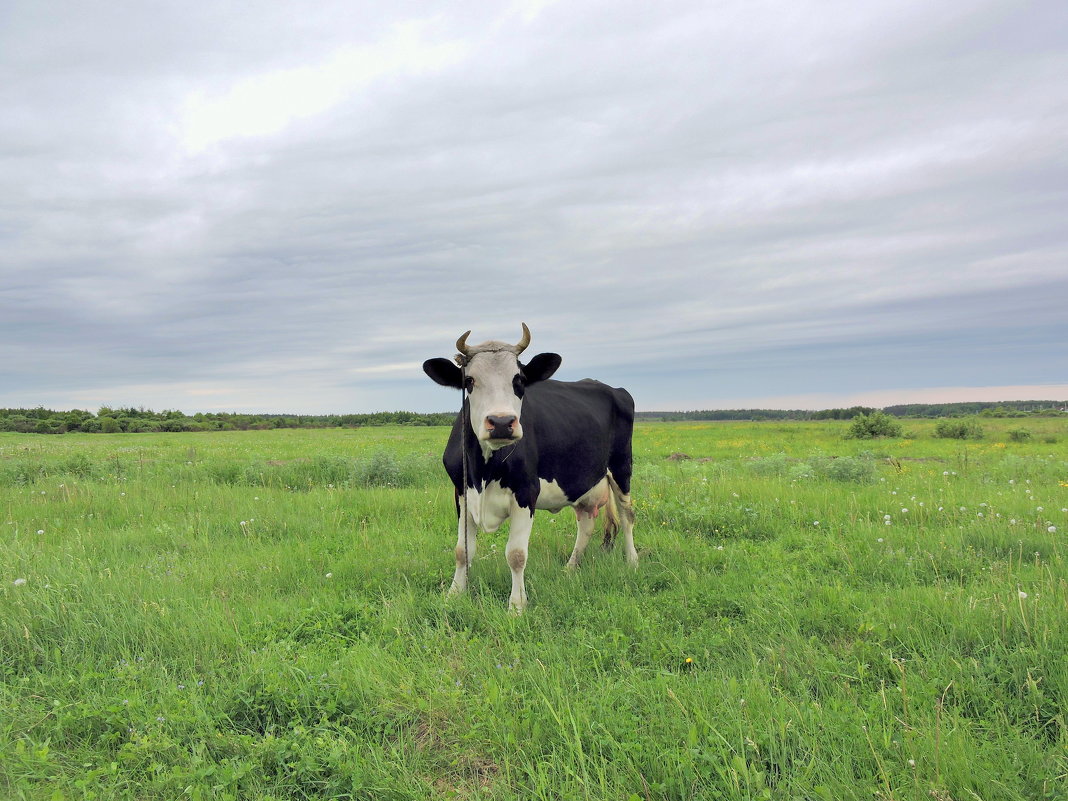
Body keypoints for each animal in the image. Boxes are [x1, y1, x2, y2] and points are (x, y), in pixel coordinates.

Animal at [416, 322, 632, 610]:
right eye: (469, 381)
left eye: (518, 380)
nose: (501, 422)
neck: (484, 469)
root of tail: (611, 388)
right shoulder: (461, 492)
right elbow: (462, 551)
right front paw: (454, 594)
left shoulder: (526, 492)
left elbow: (516, 555)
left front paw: (517, 606)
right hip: (582, 482)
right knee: (586, 525)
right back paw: (570, 569)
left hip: (621, 468)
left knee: (628, 516)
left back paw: (633, 562)